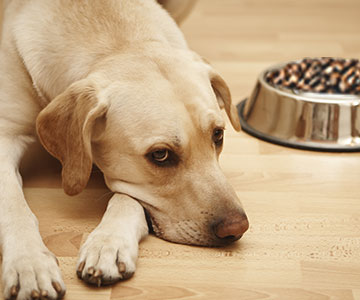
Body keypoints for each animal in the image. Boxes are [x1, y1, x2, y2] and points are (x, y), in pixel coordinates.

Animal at [0, 0, 248, 298]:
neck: (118, 43)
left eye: (218, 135)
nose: (237, 227)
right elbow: (14, 207)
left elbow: (127, 198)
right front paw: (30, 264)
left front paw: (108, 244)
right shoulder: (5, 135)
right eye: (161, 155)